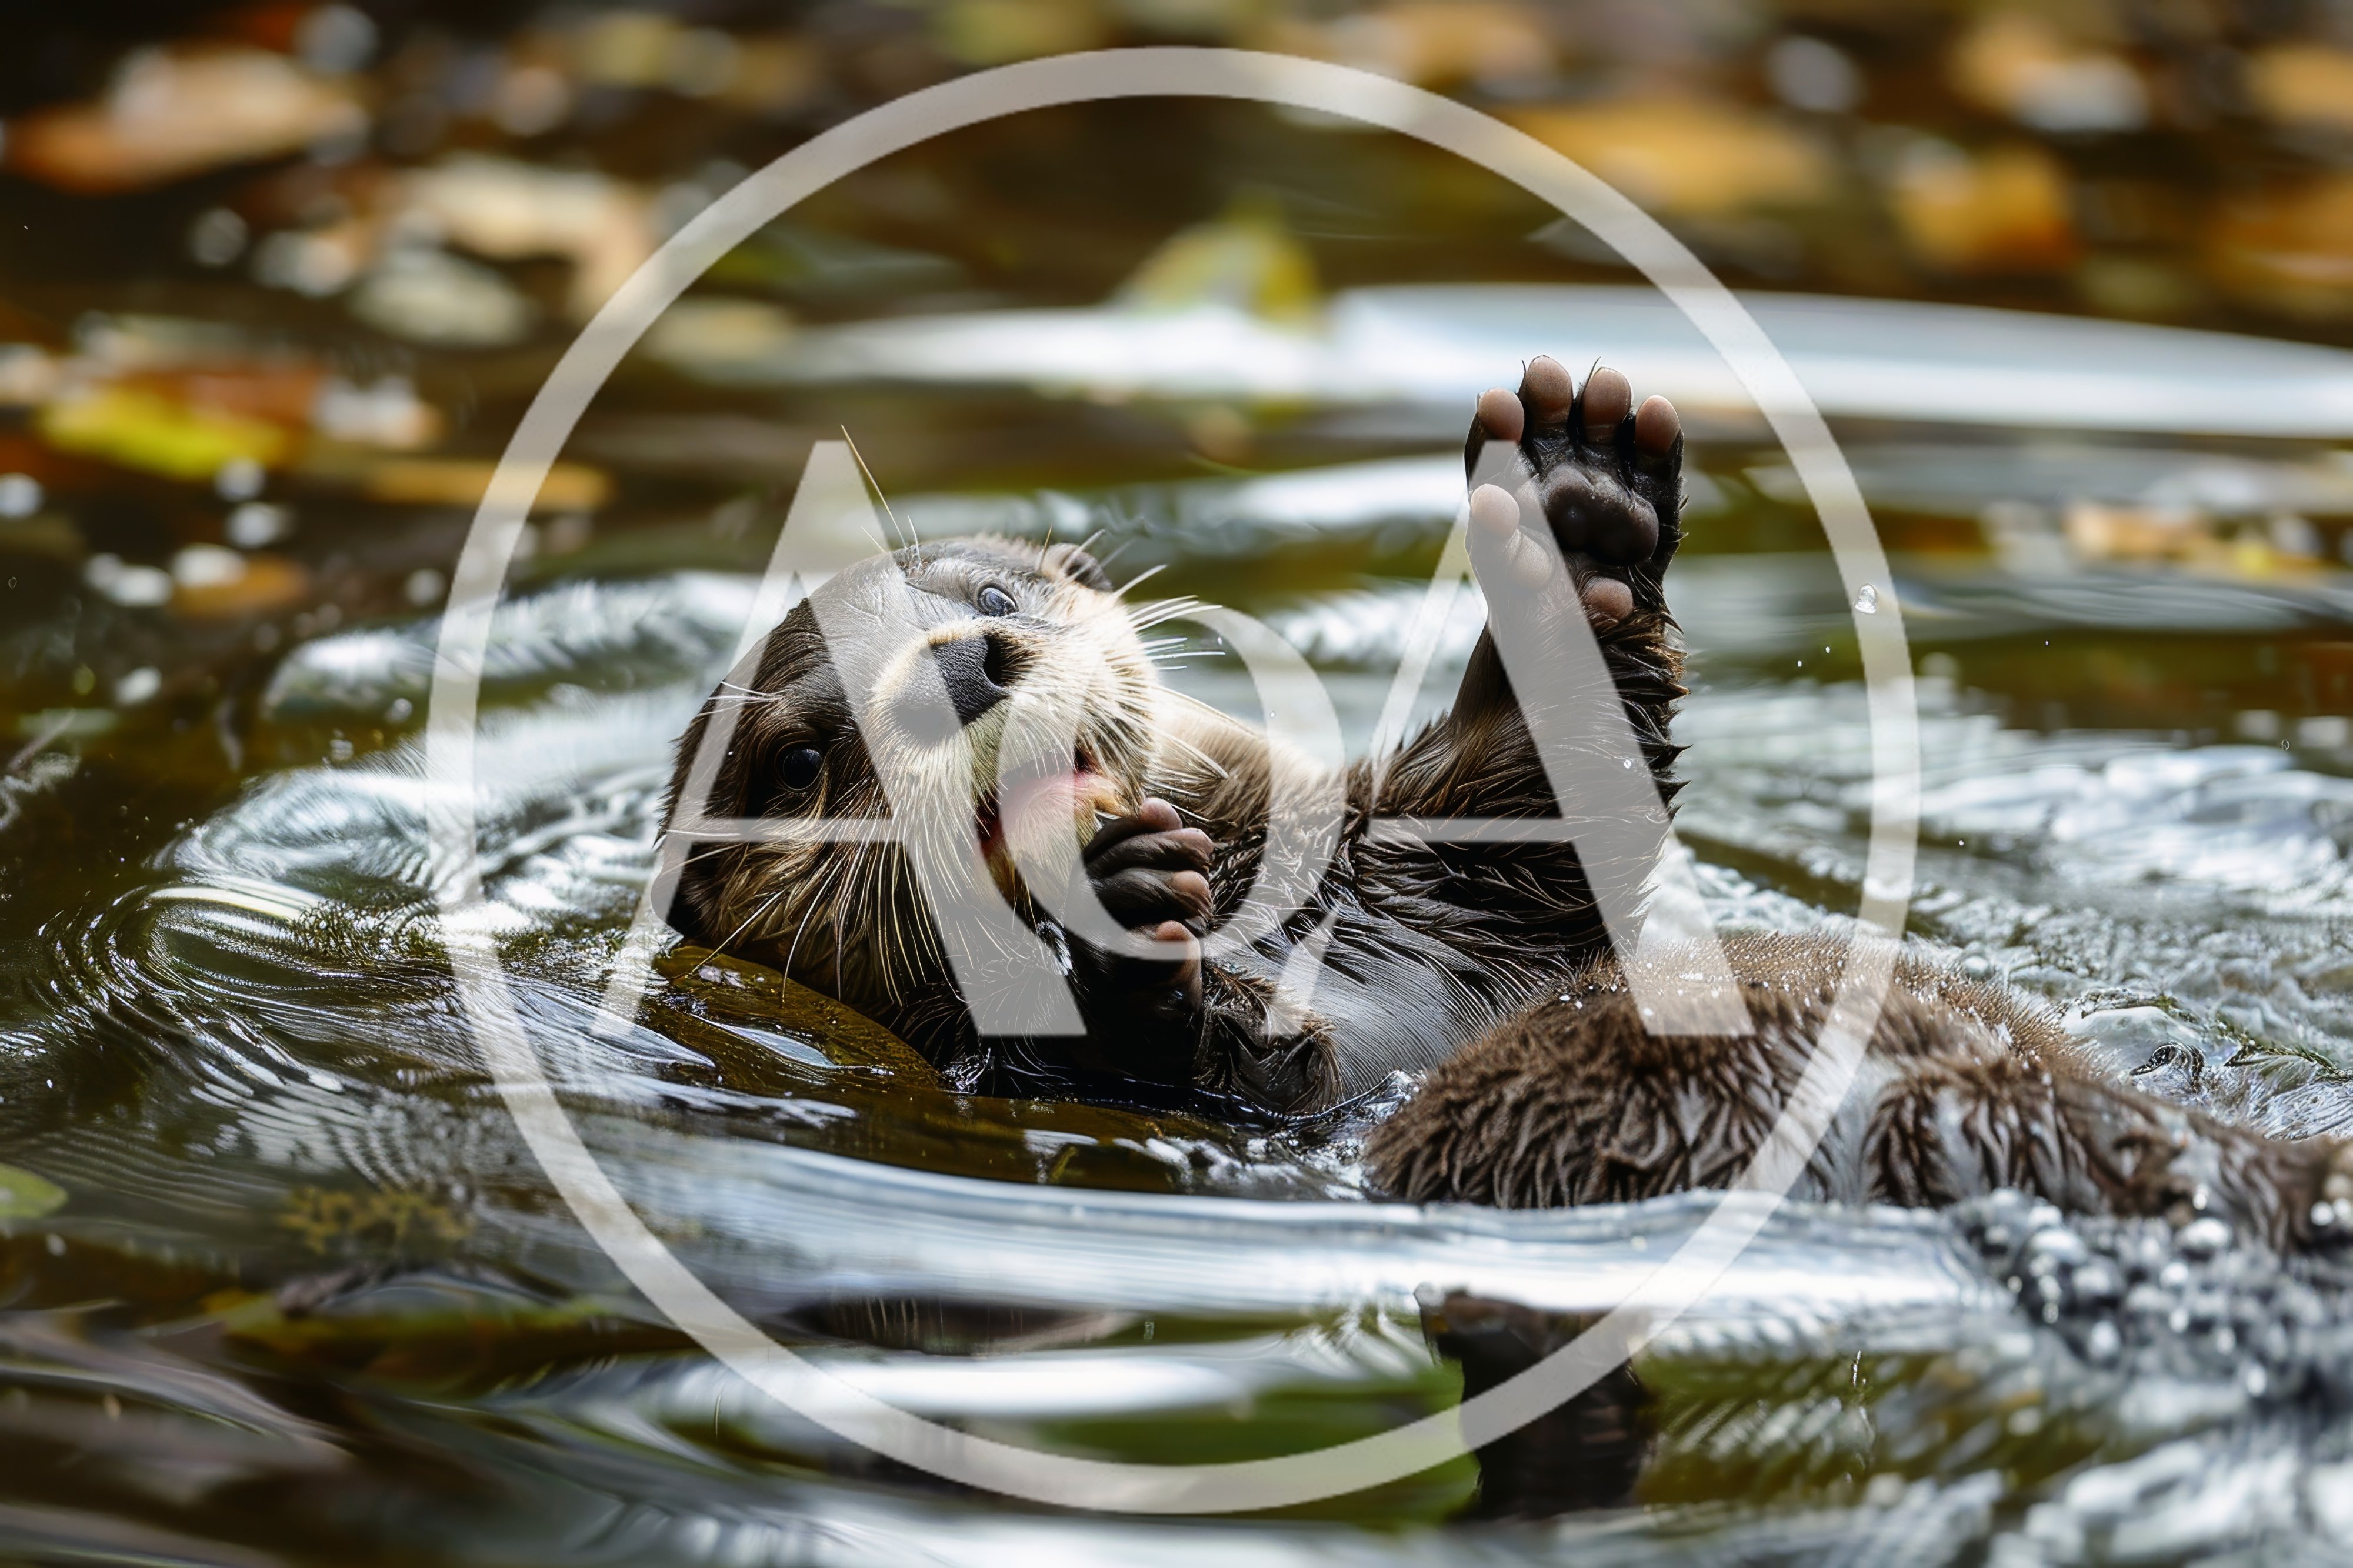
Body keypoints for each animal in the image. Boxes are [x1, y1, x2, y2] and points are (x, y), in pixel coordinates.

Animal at [661, 355, 2353, 1251]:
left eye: (993, 594)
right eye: (801, 765)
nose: (958, 666)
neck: (1305, 924)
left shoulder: (1441, 865)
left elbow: (1540, 791)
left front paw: (1573, 505)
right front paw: (1124, 923)